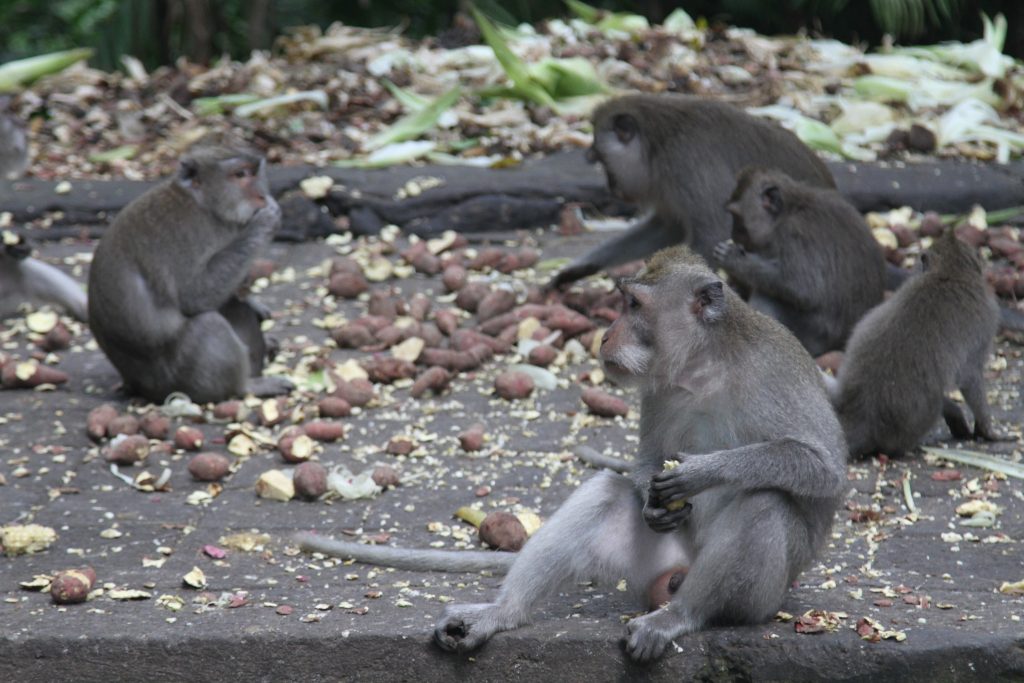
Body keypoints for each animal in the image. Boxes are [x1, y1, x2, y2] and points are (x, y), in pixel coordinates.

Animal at [87, 141, 292, 403]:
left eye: (254, 173)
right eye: (240, 175)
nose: (261, 196)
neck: (205, 205)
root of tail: (139, 387)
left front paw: (255, 305)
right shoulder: (185, 236)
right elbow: (194, 295)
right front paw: (265, 221)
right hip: (180, 381)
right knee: (209, 324)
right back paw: (245, 387)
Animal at [299, 245, 847, 663]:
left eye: (633, 305)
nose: (604, 334)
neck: (704, 364)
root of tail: (674, 576)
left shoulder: (770, 369)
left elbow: (825, 470)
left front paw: (701, 471)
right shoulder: (660, 389)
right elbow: (646, 459)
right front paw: (653, 498)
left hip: (762, 597)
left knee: (764, 503)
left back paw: (678, 616)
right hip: (647, 565)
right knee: (604, 492)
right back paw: (500, 614)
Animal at [548, 94, 835, 288]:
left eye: (602, 161)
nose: (611, 187)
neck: (658, 144)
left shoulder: (687, 165)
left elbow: (712, 235)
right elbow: (667, 228)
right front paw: (577, 269)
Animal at [712, 167, 888, 356]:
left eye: (737, 217)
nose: (733, 234)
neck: (790, 209)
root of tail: (841, 344)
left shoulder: (794, 235)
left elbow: (801, 288)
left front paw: (732, 259)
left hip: (813, 337)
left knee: (769, 295)